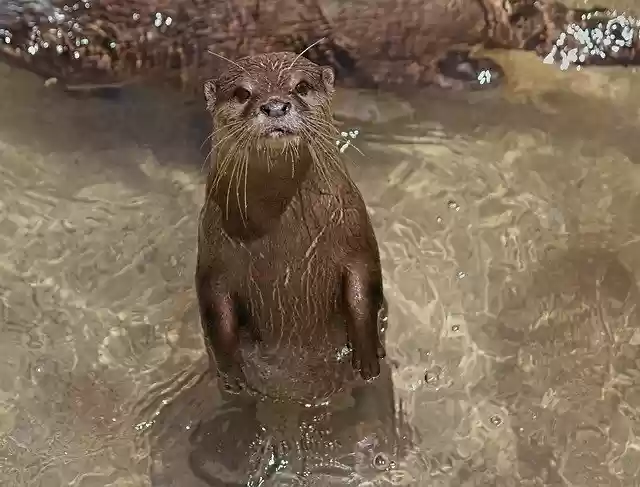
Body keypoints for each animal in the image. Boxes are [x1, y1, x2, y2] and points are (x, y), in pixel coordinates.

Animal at [195, 51, 386, 404]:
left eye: (301, 86)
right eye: (242, 93)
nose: (275, 106)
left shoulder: (356, 233)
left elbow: (364, 290)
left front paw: (367, 357)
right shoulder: (212, 252)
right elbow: (215, 309)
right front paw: (231, 376)